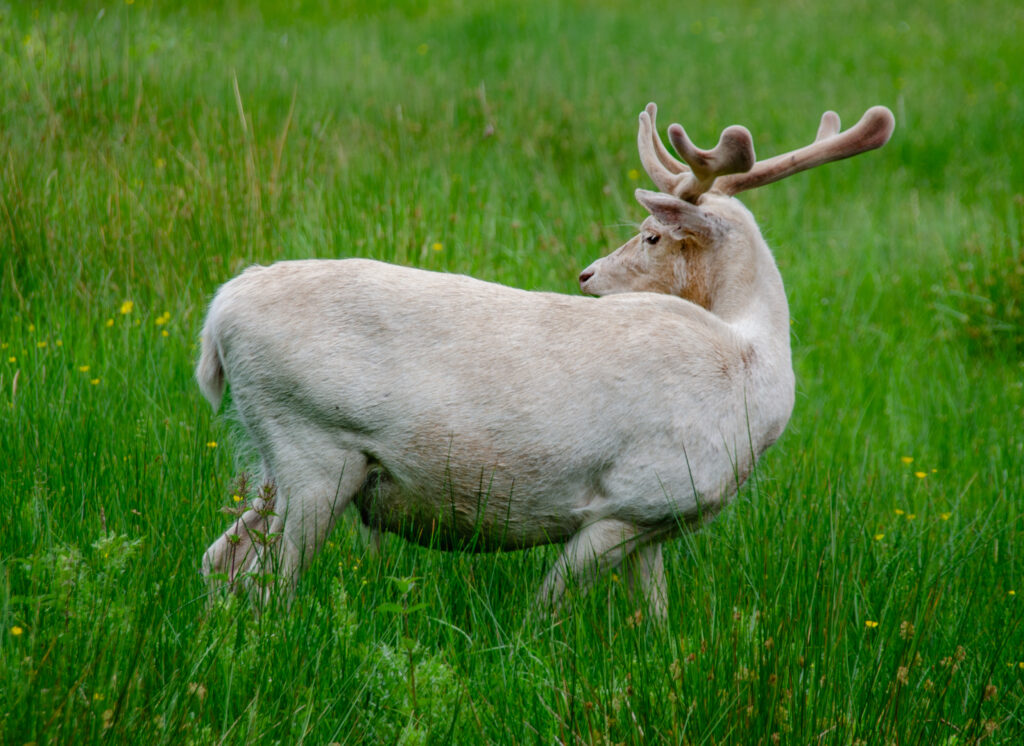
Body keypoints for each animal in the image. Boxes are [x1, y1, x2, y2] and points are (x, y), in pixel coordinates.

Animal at [196, 103, 894, 619]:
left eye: (651, 235)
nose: (586, 275)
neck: (752, 371)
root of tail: (218, 317)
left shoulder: (658, 520)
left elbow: (656, 617)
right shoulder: (629, 499)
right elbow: (545, 609)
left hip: (276, 461)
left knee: (219, 560)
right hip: (313, 448)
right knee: (265, 581)